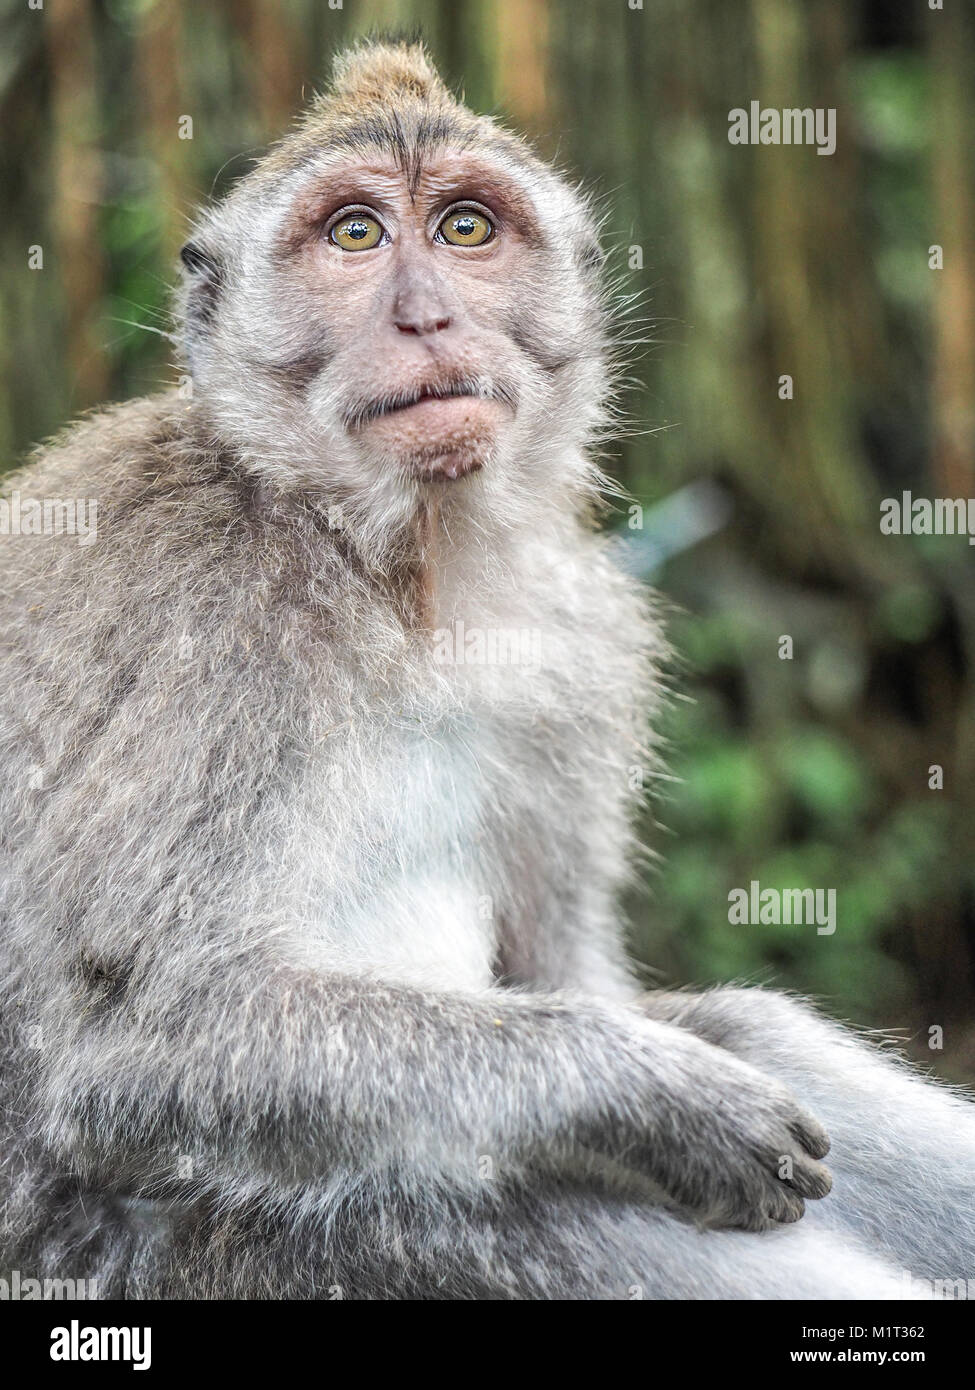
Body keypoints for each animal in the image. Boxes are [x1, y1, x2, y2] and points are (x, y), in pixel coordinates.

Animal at [0, 40, 968, 1301]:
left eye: (465, 228)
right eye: (355, 236)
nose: (427, 315)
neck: (393, 572)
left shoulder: (584, 636)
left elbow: (576, 969)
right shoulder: (208, 622)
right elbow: (130, 1050)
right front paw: (650, 1093)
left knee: (750, 1028)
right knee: (530, 1203)